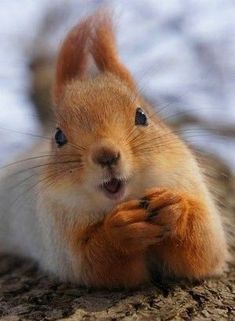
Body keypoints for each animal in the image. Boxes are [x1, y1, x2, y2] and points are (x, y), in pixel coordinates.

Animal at [0, 12, 228, 288]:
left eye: (142, 116)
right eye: (59, 136)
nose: (105, 155)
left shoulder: (187, 181)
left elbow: (204, 249)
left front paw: (175, 208)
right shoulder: (60, 234)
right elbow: (96, 263)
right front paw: (121, 229)